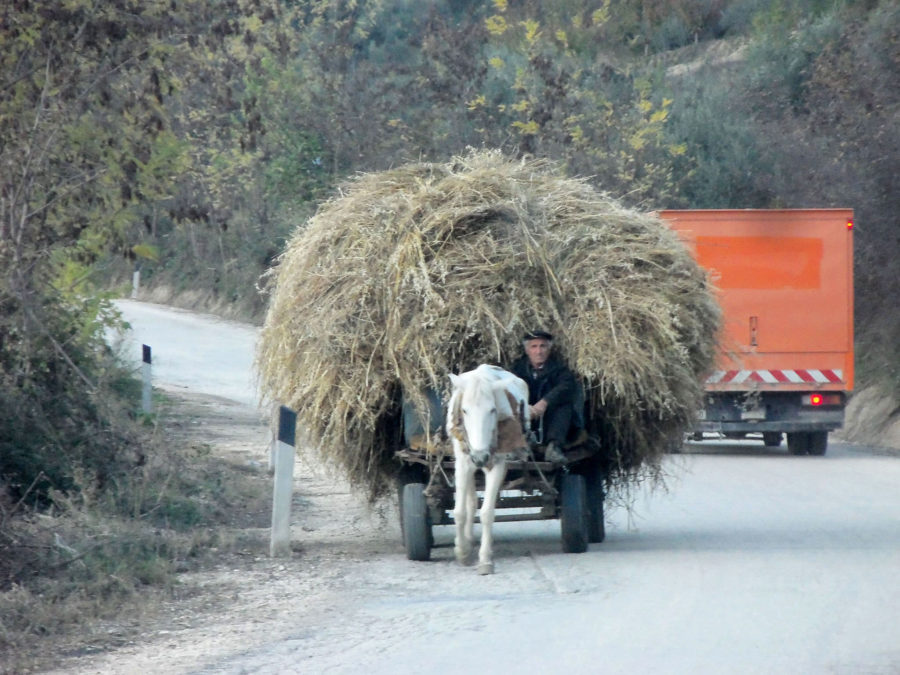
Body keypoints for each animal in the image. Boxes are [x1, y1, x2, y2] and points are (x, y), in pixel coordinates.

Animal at [448, 364, 532, 576]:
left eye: (493, 410)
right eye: (464, 410)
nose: (480, 457)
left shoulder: (498, 464)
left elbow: (487, 513)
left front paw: (485, 560)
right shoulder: (463, 463)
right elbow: (459, 512)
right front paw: (461, 551)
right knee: (470, 502)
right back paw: (467, 540)